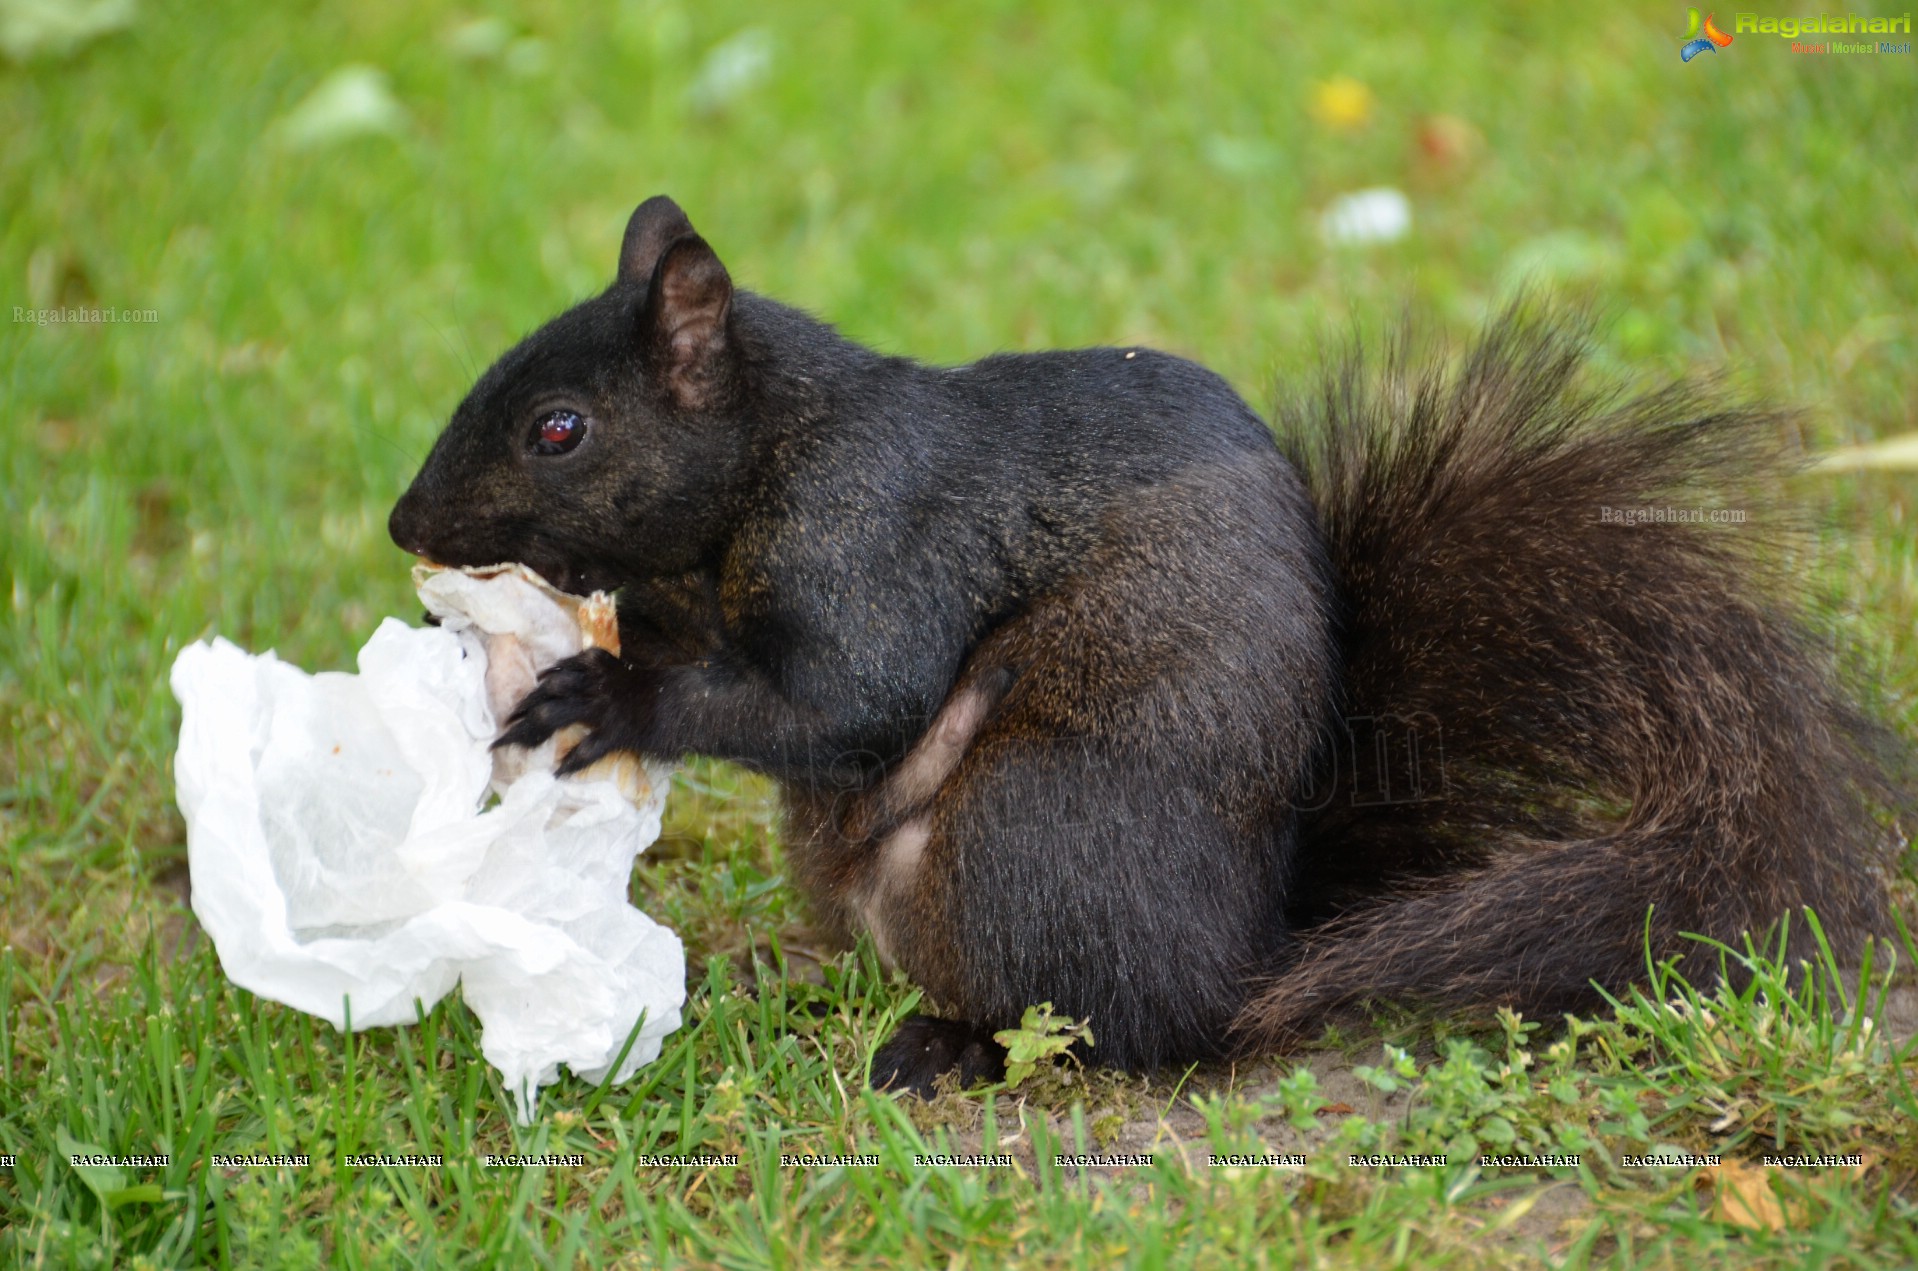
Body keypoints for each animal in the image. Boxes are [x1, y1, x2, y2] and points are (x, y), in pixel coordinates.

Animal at [389, 196, 1902, 1096]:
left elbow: (850, 696)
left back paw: (946, 1045)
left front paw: (604, 693)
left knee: (1098, 1025)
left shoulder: (877, 525)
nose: (407, 523)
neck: (770, 452)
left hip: (1028, 830)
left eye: (559, 428)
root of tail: (1243, 959)